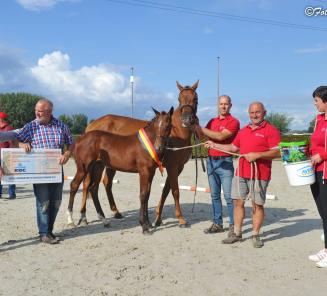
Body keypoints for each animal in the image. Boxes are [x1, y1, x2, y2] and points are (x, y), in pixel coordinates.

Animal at [70, 80, 200, 227]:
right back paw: (84, 216)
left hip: (103, 165)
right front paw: (180, 218)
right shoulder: (172, 166)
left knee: (101, 184)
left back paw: (111, 213)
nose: (187, 120)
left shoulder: (177, 168)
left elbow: (165, 190)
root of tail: (91, 126)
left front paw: (157, 218)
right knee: (88, 185)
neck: (177, 132)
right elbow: (175, 191)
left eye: (195, 98)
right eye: (179, 99)